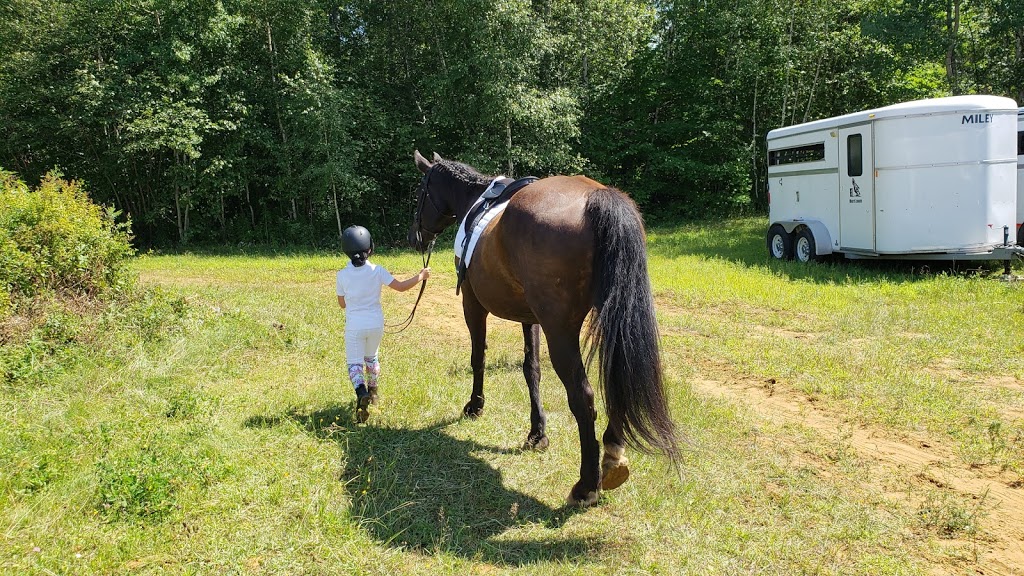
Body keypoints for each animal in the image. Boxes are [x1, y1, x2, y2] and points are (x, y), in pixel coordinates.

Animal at [407, 148, 679, 502]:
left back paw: (586, 485)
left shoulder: (472, 304)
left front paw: (474, 406)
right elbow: (531, 369)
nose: (414, 237)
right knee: (615, 379)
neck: (474, 203)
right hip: (612, 321)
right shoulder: (530, 318)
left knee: (583, 397)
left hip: (560, 331)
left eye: (420, 192)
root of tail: (598, 198)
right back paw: (612, 457)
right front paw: (537, 432)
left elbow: (478, 357)